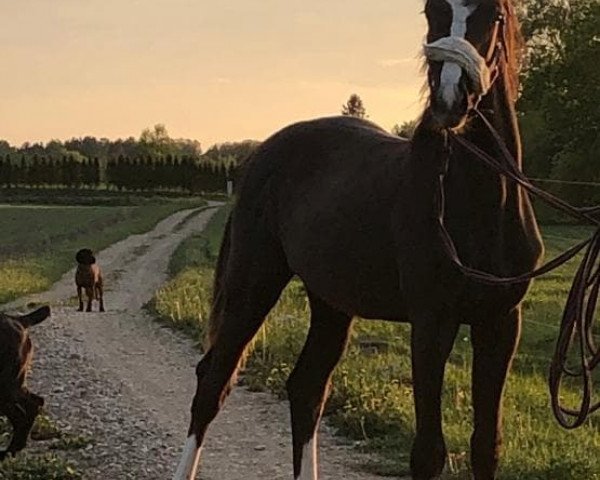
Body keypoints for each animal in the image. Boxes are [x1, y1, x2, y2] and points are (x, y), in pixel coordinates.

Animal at [0, 306, 50, 460]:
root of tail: (19, 320)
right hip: (15, 384)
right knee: (35, 402)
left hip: (6, 387)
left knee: (24, 412)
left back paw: (10, 450)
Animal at [172, 1, 544, 478]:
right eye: (431, 11)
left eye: (494, 15)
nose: (449, 100)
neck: (477, 206)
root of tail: (262, 154)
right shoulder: (432, 322)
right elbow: (428, 451)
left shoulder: (500, 323)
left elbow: (486, 446)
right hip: (253, 284)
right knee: (212, 383)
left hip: (331, 302)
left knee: (307, 389)